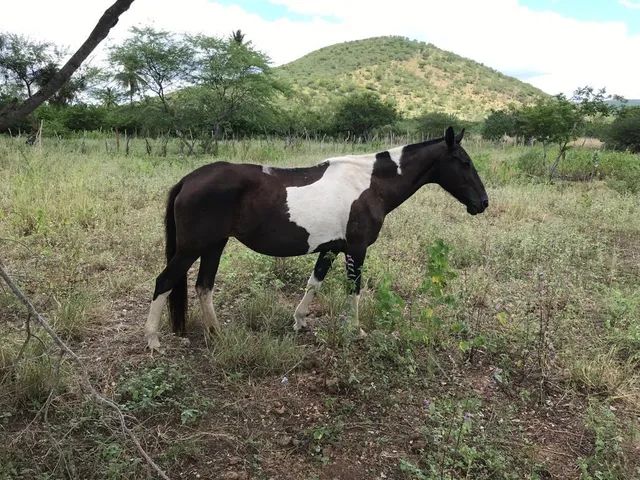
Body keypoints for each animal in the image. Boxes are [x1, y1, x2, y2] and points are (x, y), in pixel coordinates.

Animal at [144, 127, 484, 348]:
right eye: (464, 162)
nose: (482, 203)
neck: (370, 184)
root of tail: (189, 179)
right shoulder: (356, 249)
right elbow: (354, 289)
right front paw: (356, 331)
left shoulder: (331, 248)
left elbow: (314, 282)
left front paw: (299, 320)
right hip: (192, 248)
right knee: (164, 282)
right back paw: (153, 341)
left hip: (214, 245)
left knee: (204, 287)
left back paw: (216, 334)